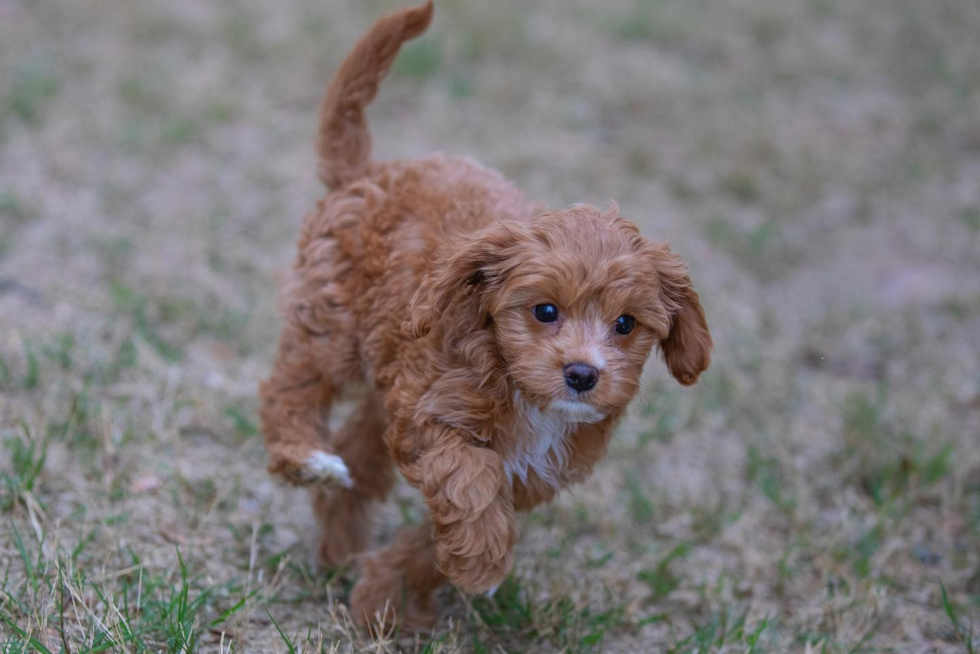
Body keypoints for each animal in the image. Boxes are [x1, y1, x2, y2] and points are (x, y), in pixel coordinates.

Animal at [256, 1, 708, 636]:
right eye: (545, 311)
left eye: (626, 325)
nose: (582, 375)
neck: (524, 393)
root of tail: (371, 171)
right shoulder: (431, 415)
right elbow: (469, 481)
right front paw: (479, 565)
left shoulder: (529, 475)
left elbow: (445, 533)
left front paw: (390, 596)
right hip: (330, 319)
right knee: (291, 389)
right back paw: (307, 458)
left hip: (379, 371)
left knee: (356, 452)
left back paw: (341, 550)